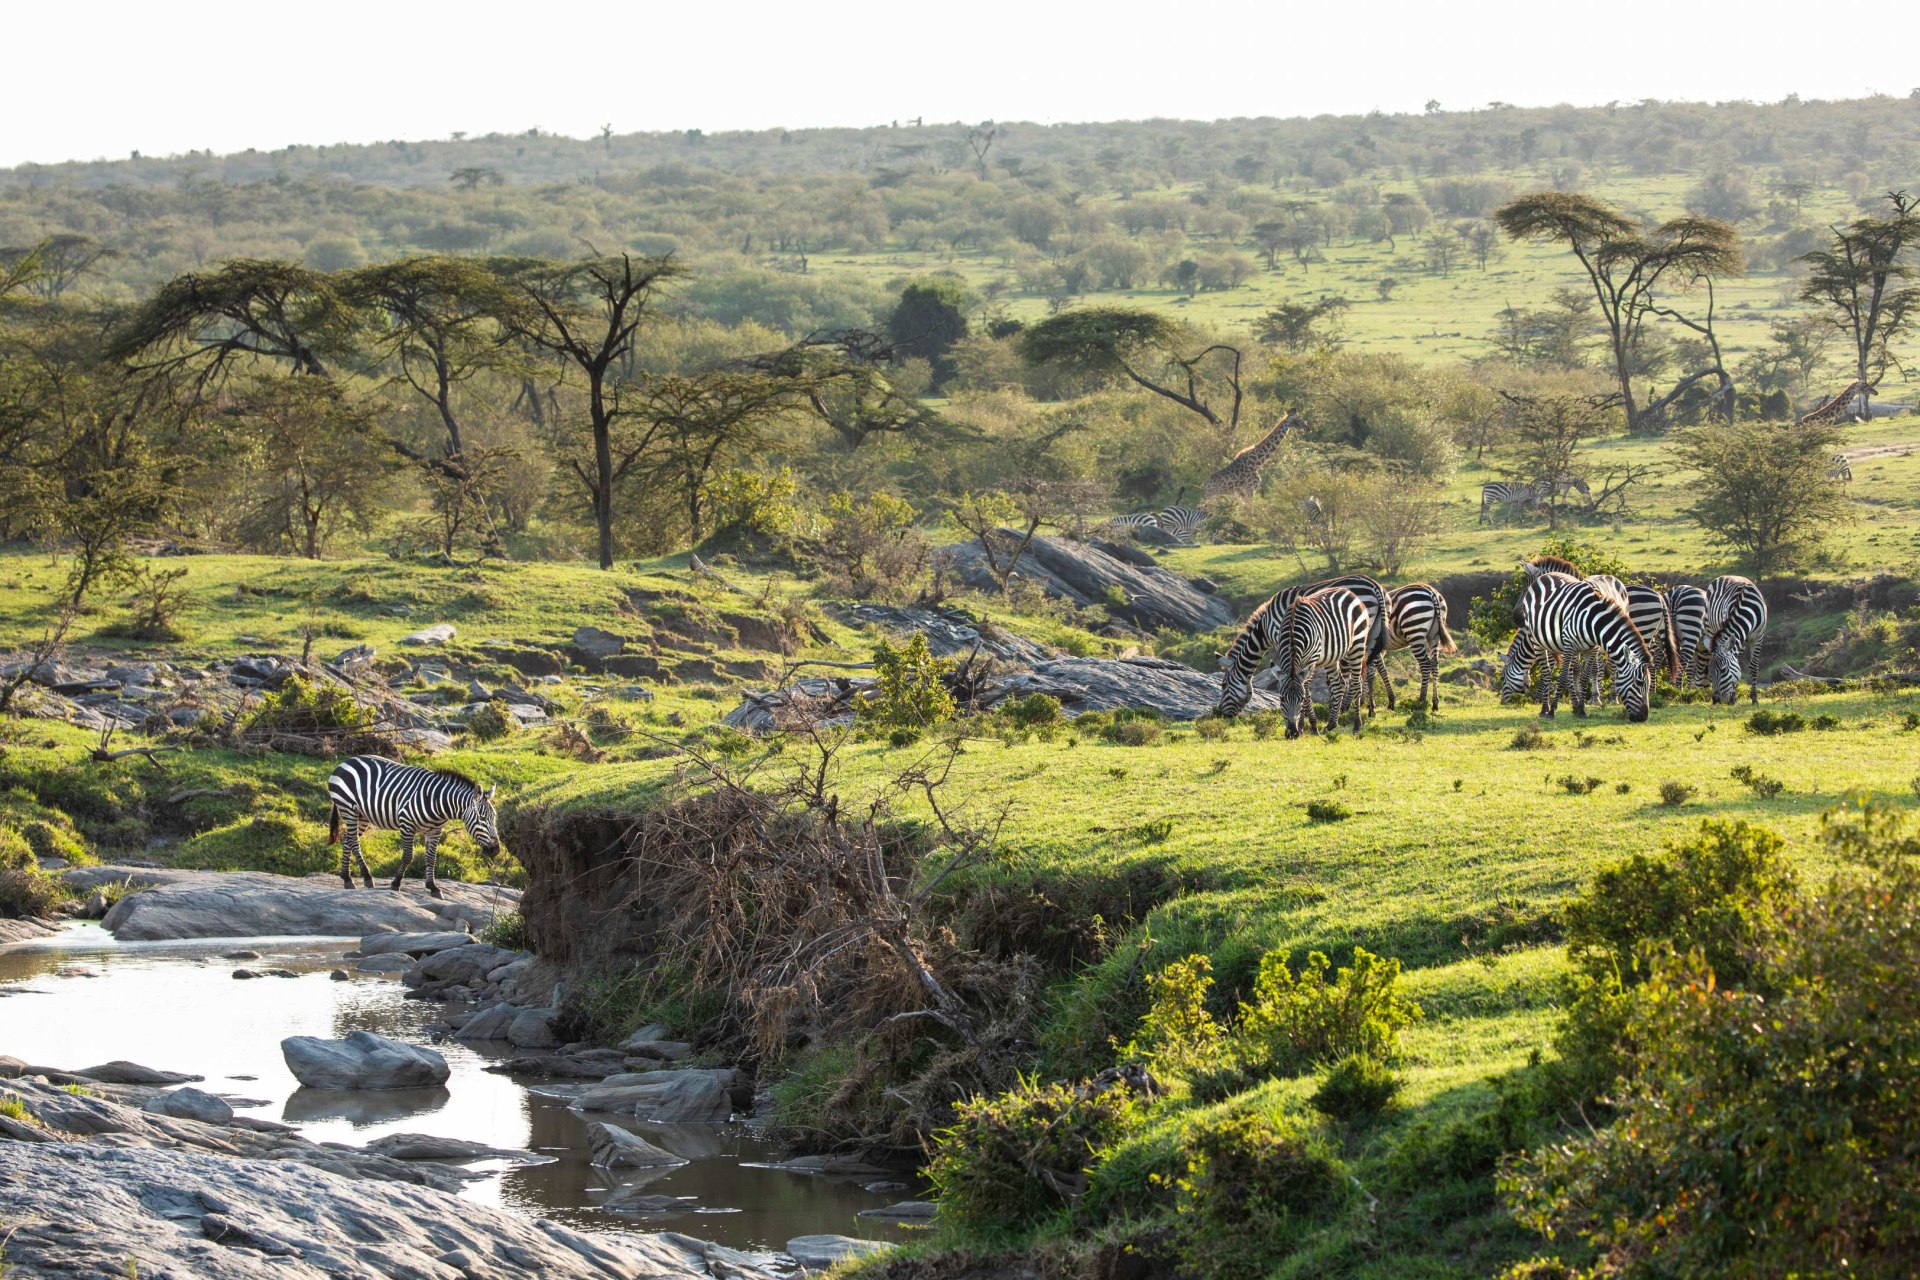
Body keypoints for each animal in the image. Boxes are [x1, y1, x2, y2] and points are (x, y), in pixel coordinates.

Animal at [326, 756, 503, 898]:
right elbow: (408, 856)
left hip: (362, 816)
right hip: (348, 808)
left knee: (347, 839)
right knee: (354, 842)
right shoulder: (407, 825)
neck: (436, 801)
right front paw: (396, 883)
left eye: (494, 817)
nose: (495, 849)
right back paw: (367, 877)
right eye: (481, 818)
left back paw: (347, 878)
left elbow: (431, 858)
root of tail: (345, 761)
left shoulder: (435, 831)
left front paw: (433, 887)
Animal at [1282, 587, 1374, 736]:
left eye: (1300, 700)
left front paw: (1310, 725)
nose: (1293, 733)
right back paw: (1331, 724)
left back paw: (1356, 725)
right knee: (1339, 684)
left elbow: (1306, 688)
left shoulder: (1311, 660)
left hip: (1357, 644)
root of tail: (1349, 592)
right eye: (1282, 699)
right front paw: (1303, 726)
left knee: (1355, 683)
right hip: (1332, 657)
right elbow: (1307, 689)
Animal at [1497, 579, 1651, 721]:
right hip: (1539, 642)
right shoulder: (1568, 646)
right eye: (1639, 683)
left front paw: (1581, 709)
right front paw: (1552, 711)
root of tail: (1540, 578)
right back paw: (1544, 709)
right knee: (1546, 673)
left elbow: (1583, 677)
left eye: (1645, 684)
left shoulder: (1591, 649)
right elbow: (1563, 677)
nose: (1643, 717)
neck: (1592, 621)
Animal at [1712, 575, 1766, 706]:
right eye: (1710, 671)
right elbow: (1737, 663)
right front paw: (1733, 696)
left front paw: (1754, 698)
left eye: (1723, 670)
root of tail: (1725, 575)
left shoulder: (1758, 638)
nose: (1715, 700)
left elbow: (1753, 667)